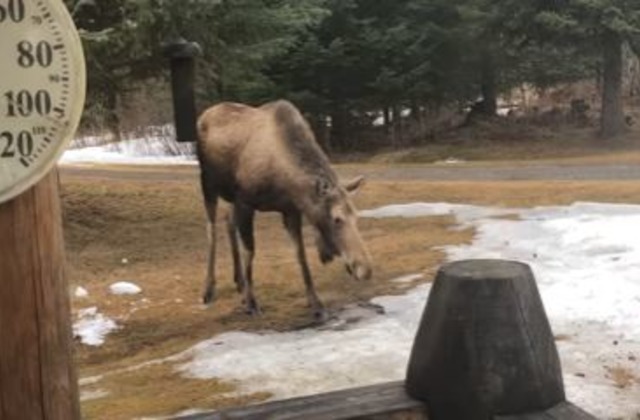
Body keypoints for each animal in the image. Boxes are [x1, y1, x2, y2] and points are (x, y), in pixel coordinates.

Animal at [198, 101, 372, 318]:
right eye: (337, 219)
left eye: (356, 216)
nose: (365, 269)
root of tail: (205, 114)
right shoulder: (245, 202)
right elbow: (250, 251)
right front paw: (251, 302)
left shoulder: (290, 210)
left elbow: (301, 255)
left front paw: (315, 302)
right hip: (208, 184)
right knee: (211, 229)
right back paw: (209, 289)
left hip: (229, 195)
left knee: (228, 222)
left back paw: (238, 281)